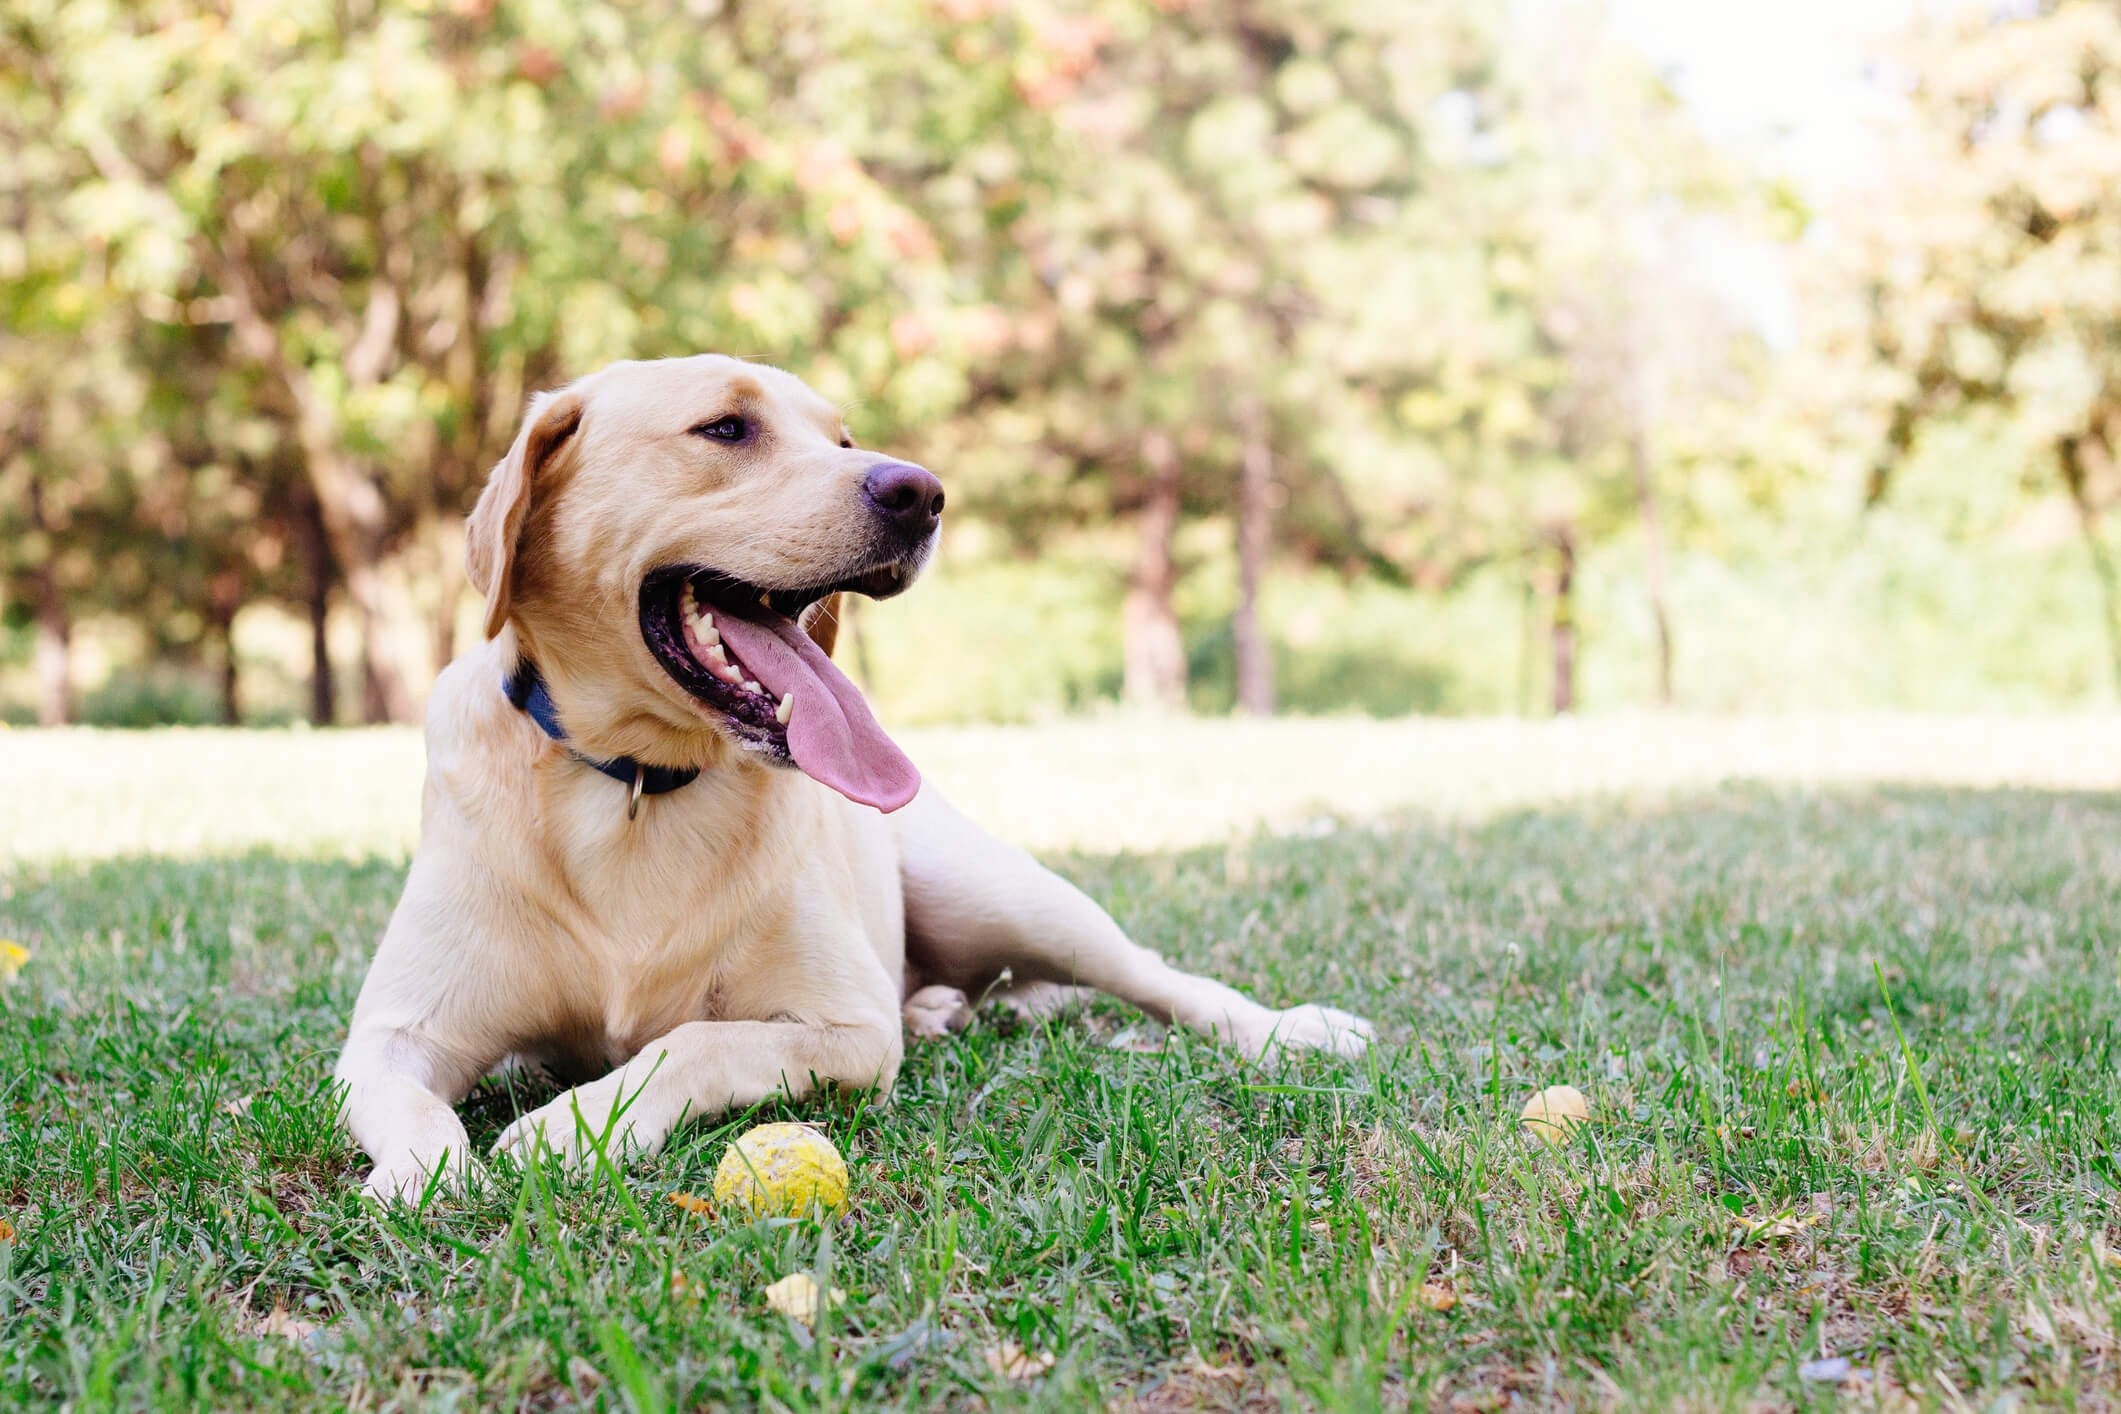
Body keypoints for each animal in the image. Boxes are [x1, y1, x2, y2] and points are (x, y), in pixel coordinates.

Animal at [326, 356, 1357, 1204]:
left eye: (844, 440)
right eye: (726, 428)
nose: (924, 492)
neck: (635, 785)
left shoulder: (850, 1028)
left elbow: (693, 1041)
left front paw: (577, 1126)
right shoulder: (389, 1037)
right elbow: (411, 1109)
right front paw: (422, 1174)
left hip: (1007, 896)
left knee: (1159, 978)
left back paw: (1287, 1029)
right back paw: (942, 1007)